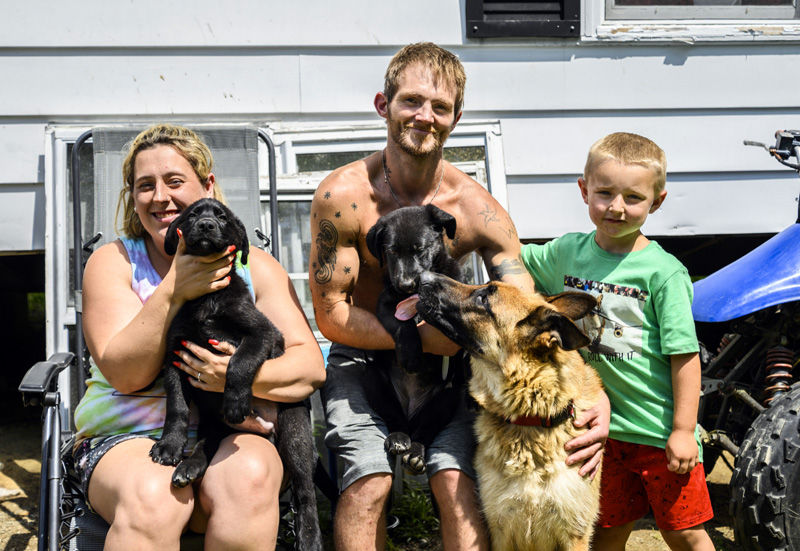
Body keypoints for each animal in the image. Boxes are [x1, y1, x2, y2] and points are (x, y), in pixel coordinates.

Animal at [364, 205, 468, 476]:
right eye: (391, 252)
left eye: (420, 249)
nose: (406, 284)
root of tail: (411, 416)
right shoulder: (387, 305)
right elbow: (403, 324)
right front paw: (411, 356)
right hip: (376, 381)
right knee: (394, 419)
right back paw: (399, 439)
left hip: (446, 396)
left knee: (425, 432)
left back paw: (415, 454)